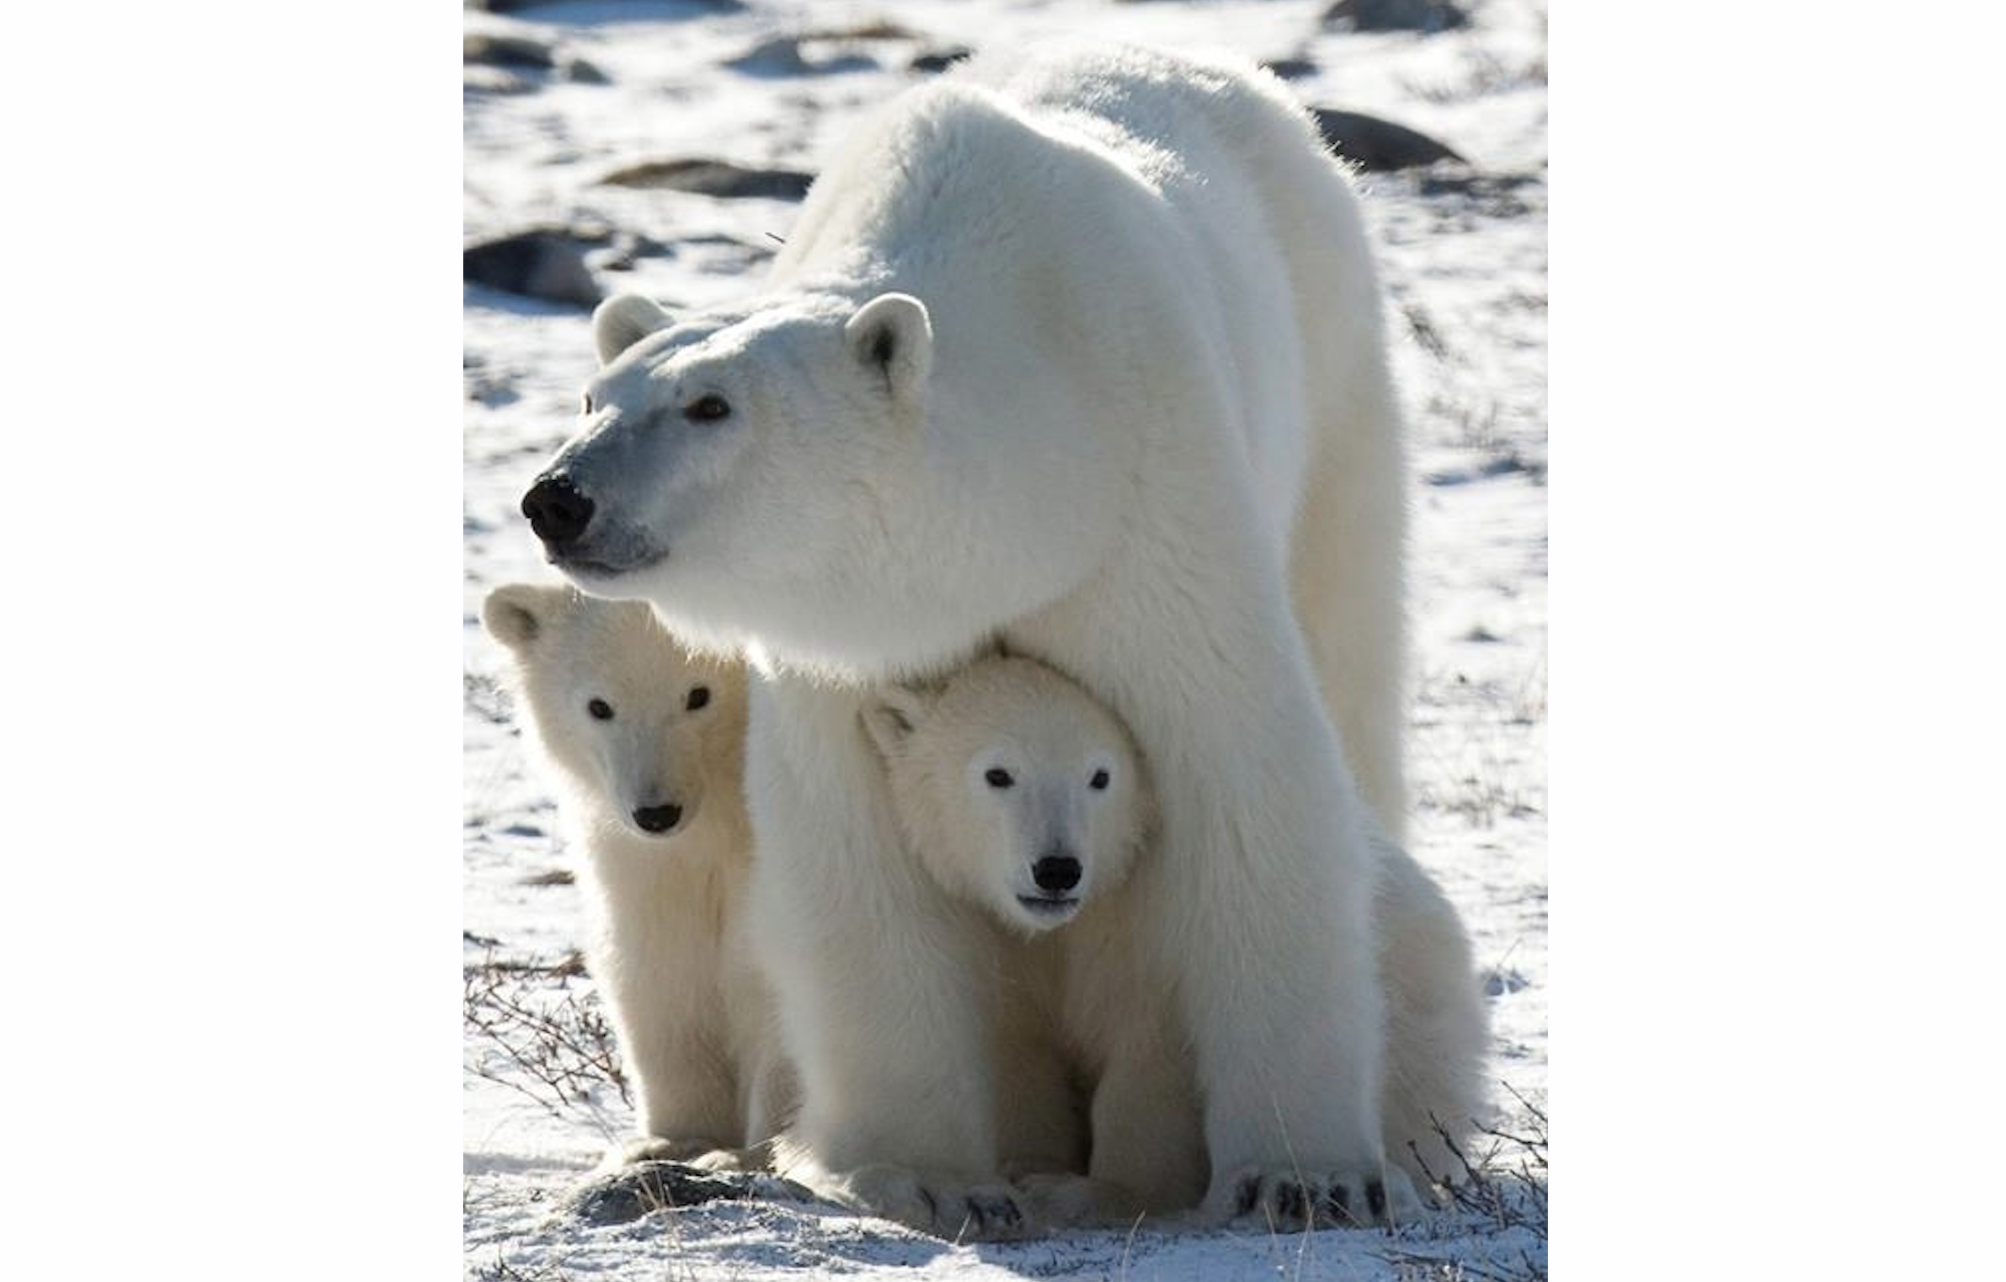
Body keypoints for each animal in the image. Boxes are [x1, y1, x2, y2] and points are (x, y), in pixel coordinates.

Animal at [482, 583, 794, 1172]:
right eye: (599, 706)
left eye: (698, 694)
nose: (656, 813)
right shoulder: (642, 864)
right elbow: (658, 966)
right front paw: (671, 1141)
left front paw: (752, 1154)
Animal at [518, 42, 1414, 1235]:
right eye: (591, 395)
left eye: (711, 406)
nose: (556, 500)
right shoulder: (849, 650)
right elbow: (849, 847)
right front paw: (926, 1174)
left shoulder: (1151, 514)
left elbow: (1247, 773)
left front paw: (1300, 1175)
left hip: (1331, 381)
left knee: (1348, 643)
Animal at [864, 655, 1488, 1226]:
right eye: (998, 773)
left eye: (1100, 776)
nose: (1057, 870)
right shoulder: (998, 944)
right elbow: (1018, 1052)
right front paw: (1024, 1168)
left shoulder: (1156, 925)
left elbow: (1150, 1060)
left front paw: (1093, 1193)